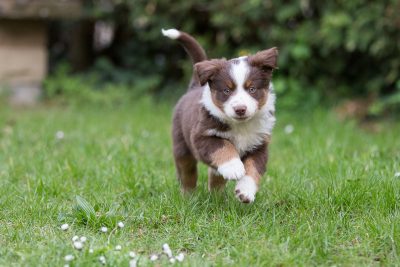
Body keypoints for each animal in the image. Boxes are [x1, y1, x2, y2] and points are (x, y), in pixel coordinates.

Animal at [161, 28, 276, 203]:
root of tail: (194, 87)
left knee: (214, 174)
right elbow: (223, 145)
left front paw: (245, 191)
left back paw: (217, 197)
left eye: (252, 89)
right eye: (226, 91)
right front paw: (234, 168)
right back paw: (188, 197)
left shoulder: (260, 145)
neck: (241, 126)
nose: (240, 109)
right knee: (187, 173)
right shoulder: (201, 136)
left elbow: (253, 168)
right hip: (181, 145)